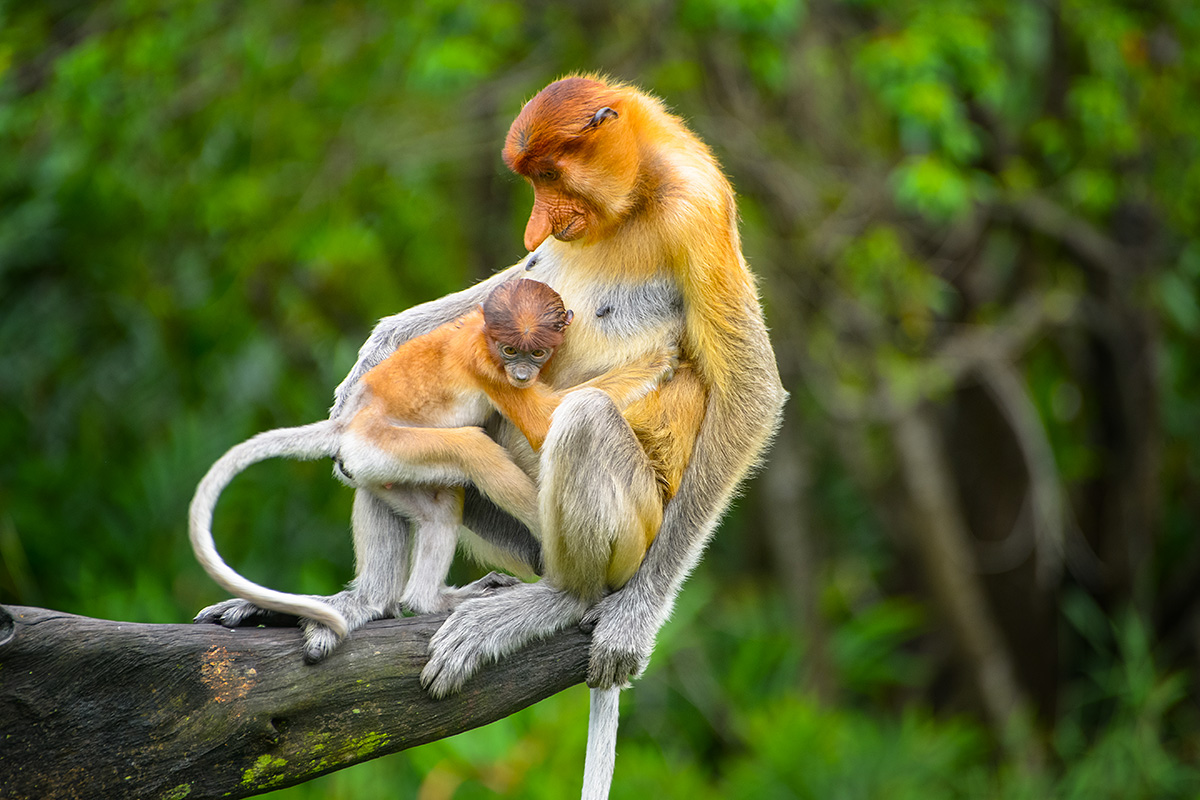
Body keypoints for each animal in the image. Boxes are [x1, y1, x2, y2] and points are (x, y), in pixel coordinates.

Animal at [194, 281, 686, 662]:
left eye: (536, 351)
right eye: (511, 350)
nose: (522, 373)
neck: (483, 336)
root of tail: (349, 424)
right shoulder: (489, 370)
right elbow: (544, 421)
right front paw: (657, 359)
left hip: (383, 468)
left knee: (438, 507)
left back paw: (425, 598)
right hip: (389, 445)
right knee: (475, 451)